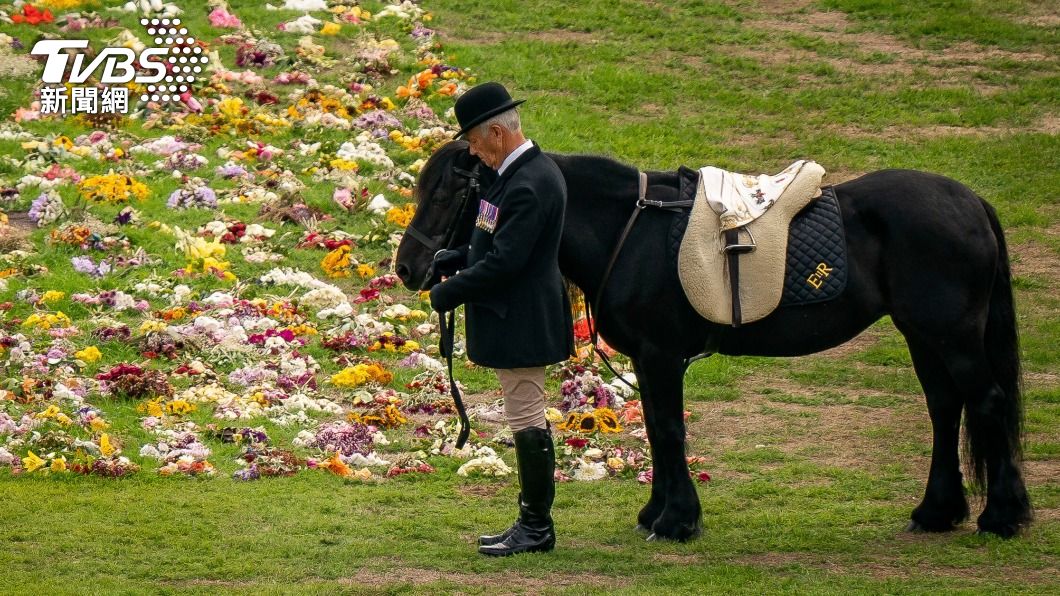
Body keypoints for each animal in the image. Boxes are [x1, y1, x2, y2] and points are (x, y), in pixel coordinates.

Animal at [394, 140, 1032, 541]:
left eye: (447, 193)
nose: (408, 268)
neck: (631, 229)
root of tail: (970, 202)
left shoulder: (660, 355)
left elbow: (669, 431)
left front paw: (676, 521)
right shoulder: (649, 359)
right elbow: (658, 430)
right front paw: (657, 514)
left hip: (951, 336)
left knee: (987, 402)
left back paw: (1002, 515)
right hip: (924, 335)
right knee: (946, 408)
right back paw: (937, 511)